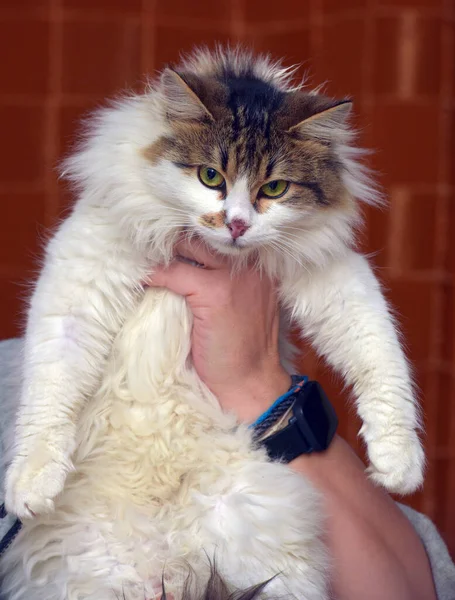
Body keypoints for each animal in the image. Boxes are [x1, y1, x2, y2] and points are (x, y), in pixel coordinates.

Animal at [1, 48, 424, 600]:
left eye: (273, 188)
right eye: (209, 177)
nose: (237, 224)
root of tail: (164, 567)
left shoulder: (333, 276)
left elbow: (381, 356)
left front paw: (399, 463)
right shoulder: (85, 273)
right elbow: (50, 388)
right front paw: (31, 484)